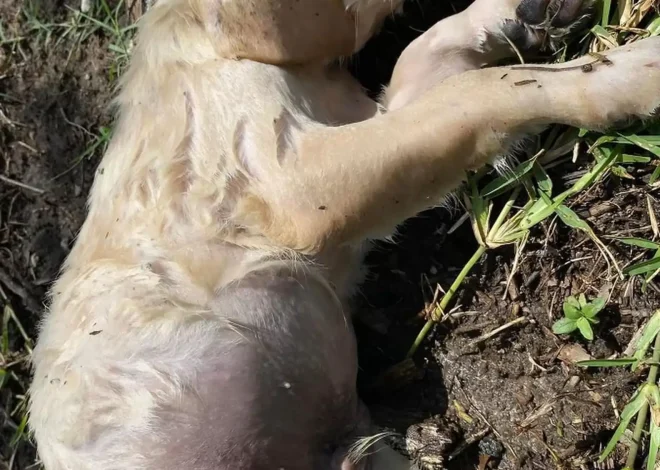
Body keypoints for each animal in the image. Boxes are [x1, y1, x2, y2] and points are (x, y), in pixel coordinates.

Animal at [27, 0, 660, 470]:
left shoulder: (372, 114)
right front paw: (635, 73)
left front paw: (525, 13)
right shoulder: (292, 182)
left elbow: (431, 61)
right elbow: (480, 91)